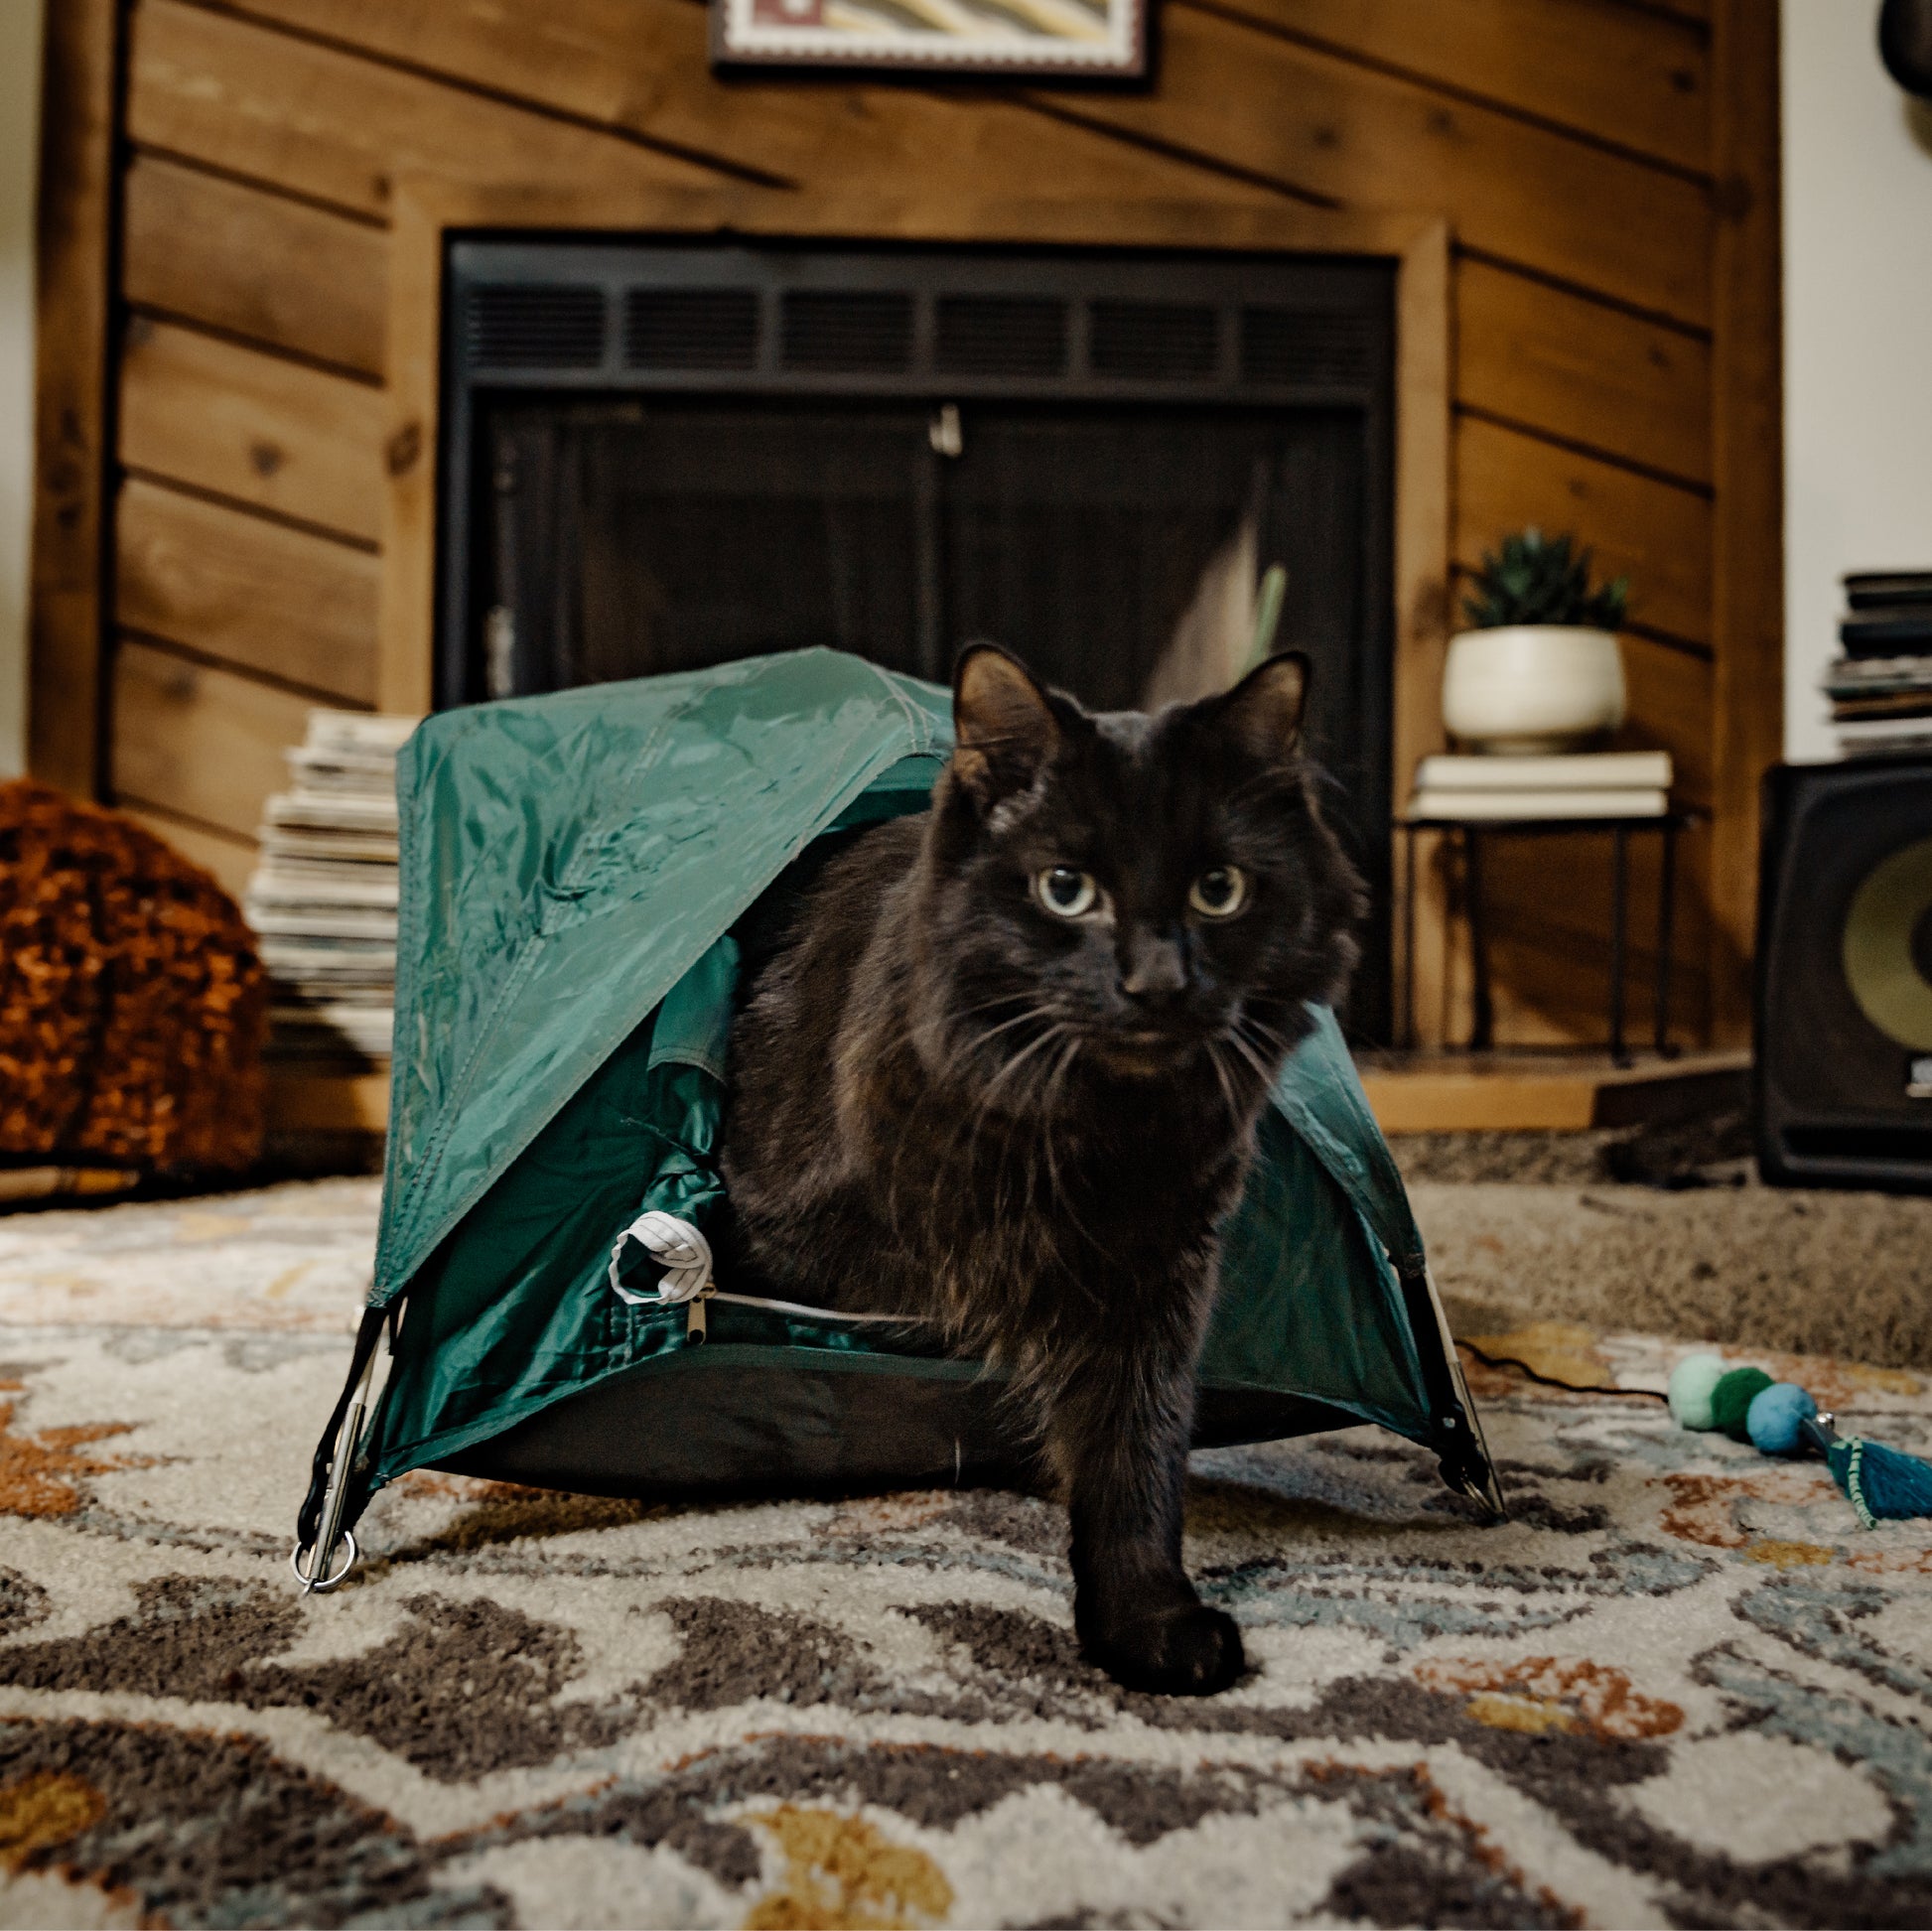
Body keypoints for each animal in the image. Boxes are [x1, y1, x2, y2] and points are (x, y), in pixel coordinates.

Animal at [718, 645, 1367, 1693]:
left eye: (1217, 889)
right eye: (1066, 888)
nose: (1156, 982)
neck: (1082, 1130)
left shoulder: (1156, 1279)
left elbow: (1138, 1457)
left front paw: (1147, 1621)